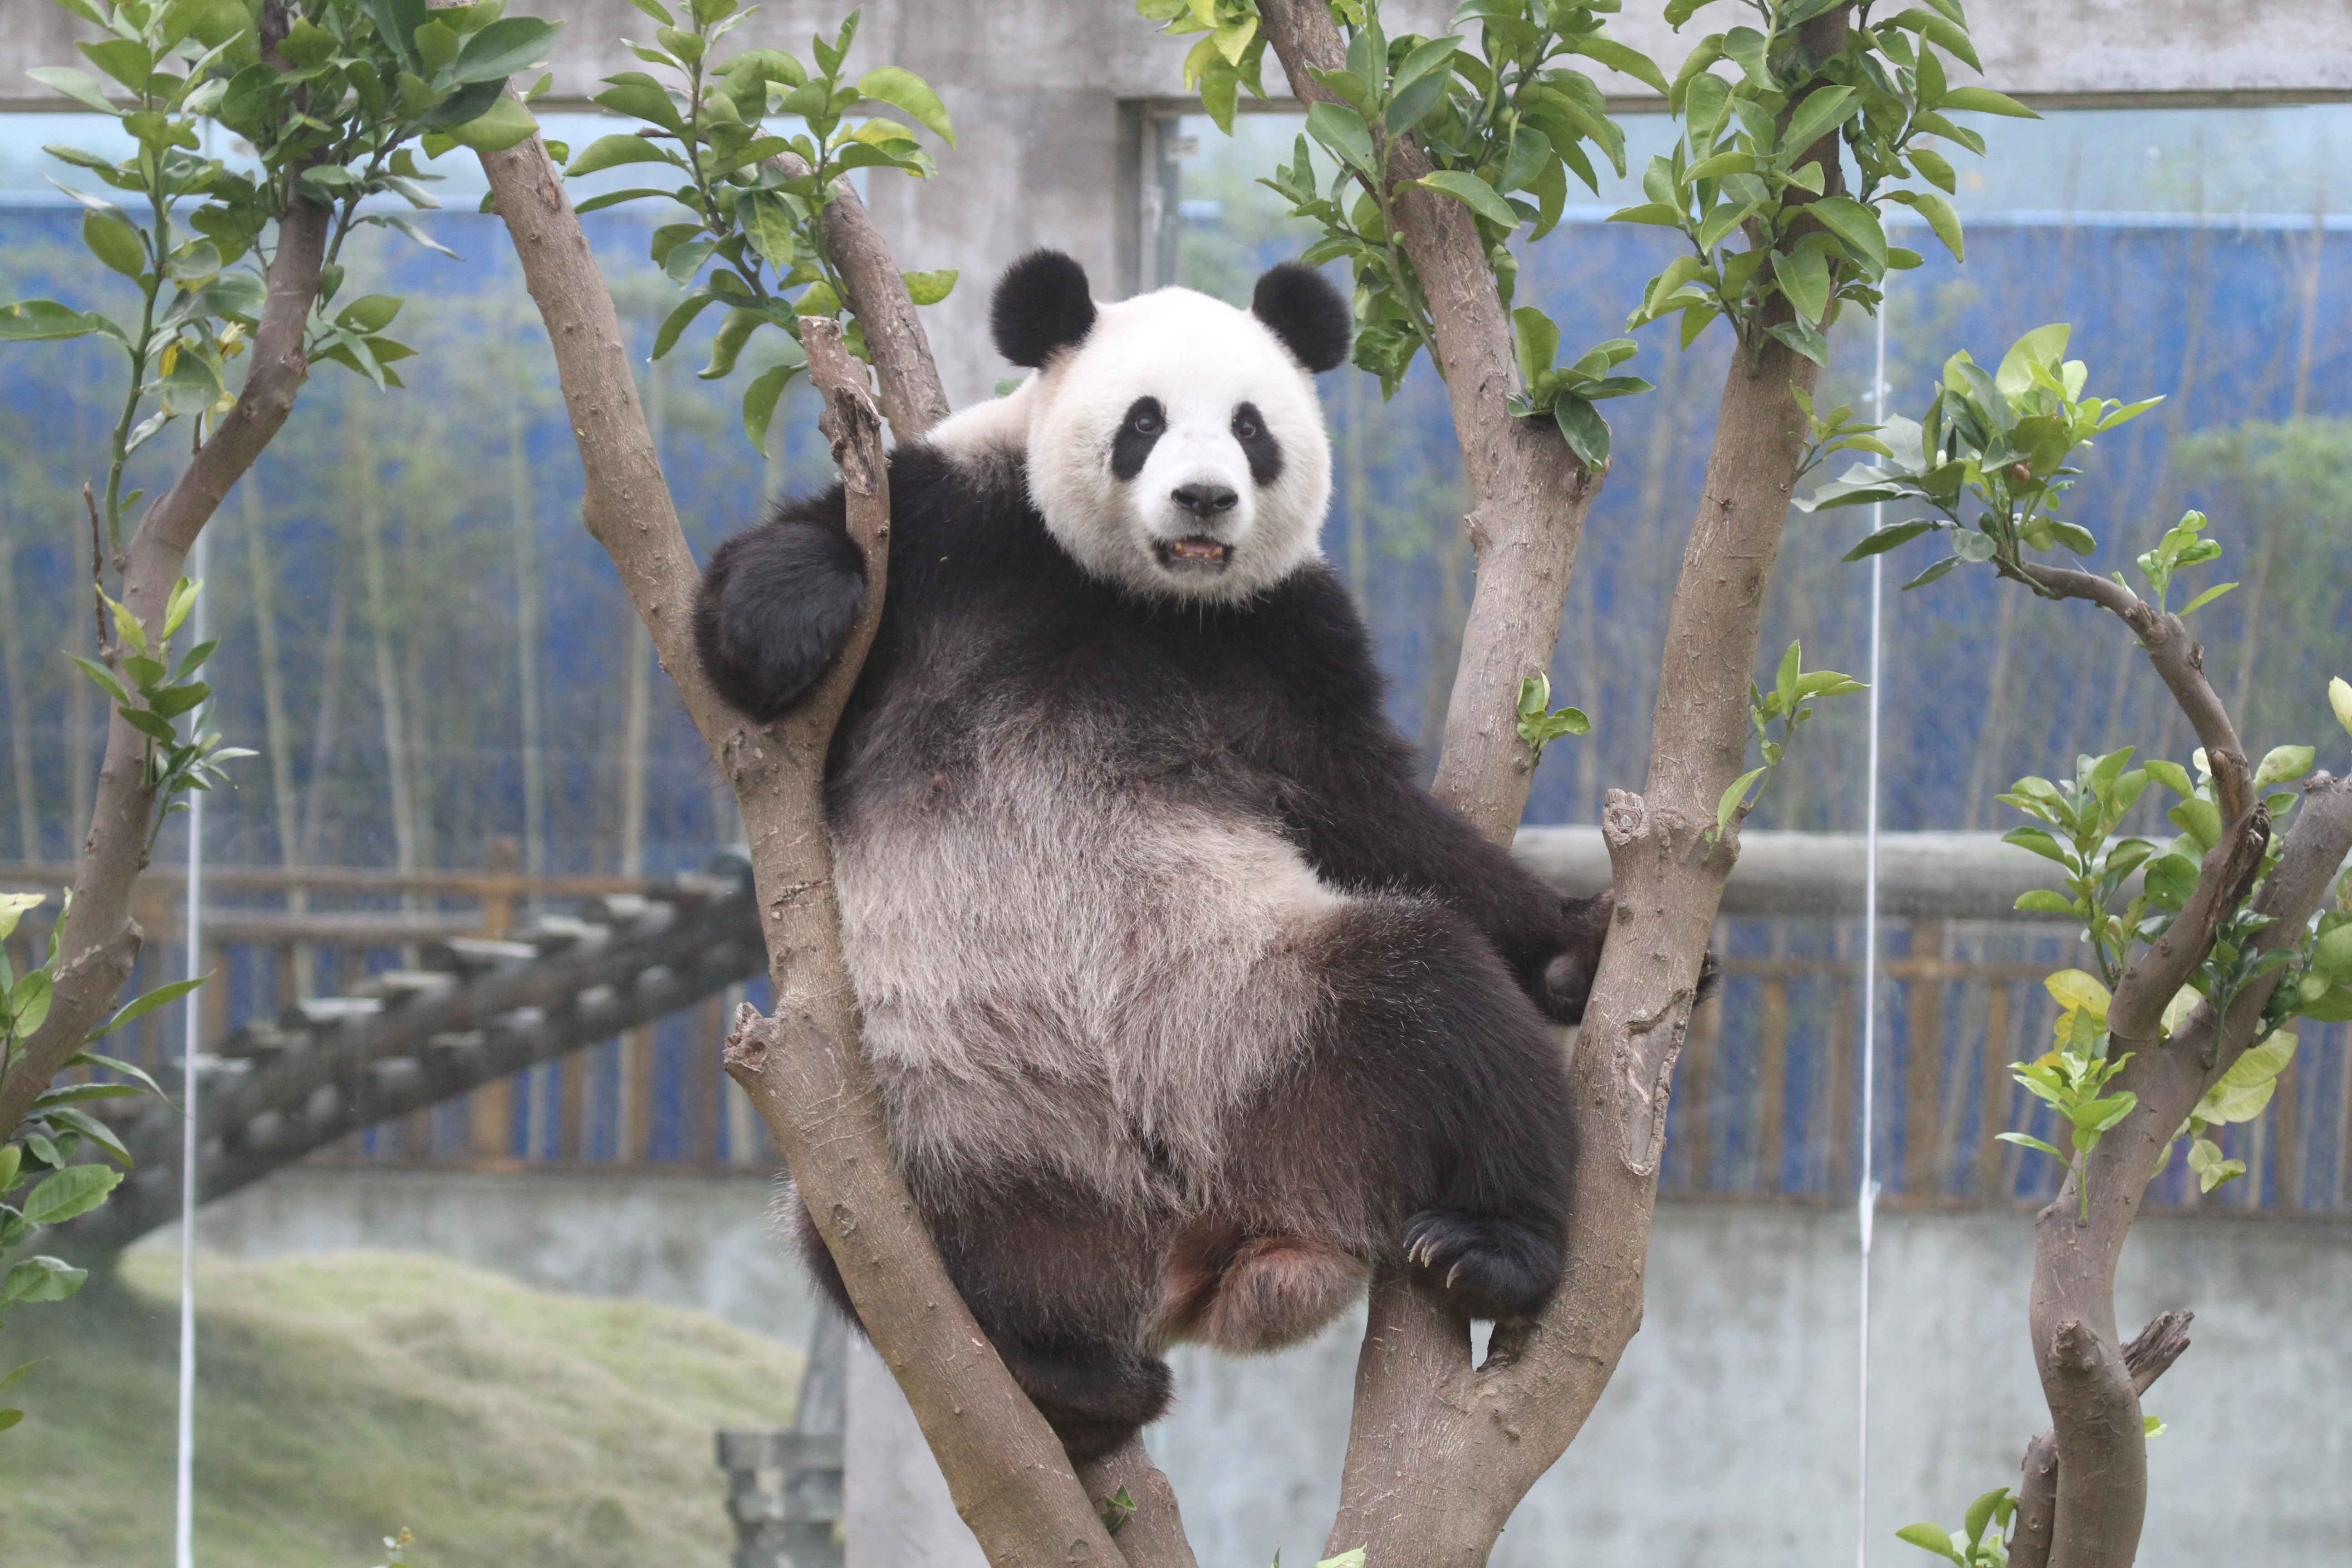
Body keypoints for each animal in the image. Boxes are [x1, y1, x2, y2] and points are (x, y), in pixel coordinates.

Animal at [694, 250, 1611, 1462]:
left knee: (1443, 1009)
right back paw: (1069, 1380)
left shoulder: (1283, 634)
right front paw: (796, 610)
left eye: (1252, 428)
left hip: (1271, 1022)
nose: (1205, 498)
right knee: (853, 1234)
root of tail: (1196, 1249)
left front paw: (1574, 946)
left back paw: (1487, 1247)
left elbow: (1370, 812)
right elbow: (752, 627)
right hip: (936, 1125)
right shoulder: (955, 532)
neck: (1142, 598)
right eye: (1144, 421)